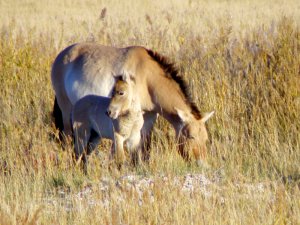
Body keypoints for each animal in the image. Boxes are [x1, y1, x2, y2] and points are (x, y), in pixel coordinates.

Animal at [51, 42, 214, 167]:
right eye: (191, 137)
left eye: (206, 138)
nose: (202, 165)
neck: (148, 78)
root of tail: (60, 57)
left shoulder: (149, 117)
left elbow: (145, 145)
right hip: (66, 111)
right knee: (68, 139)